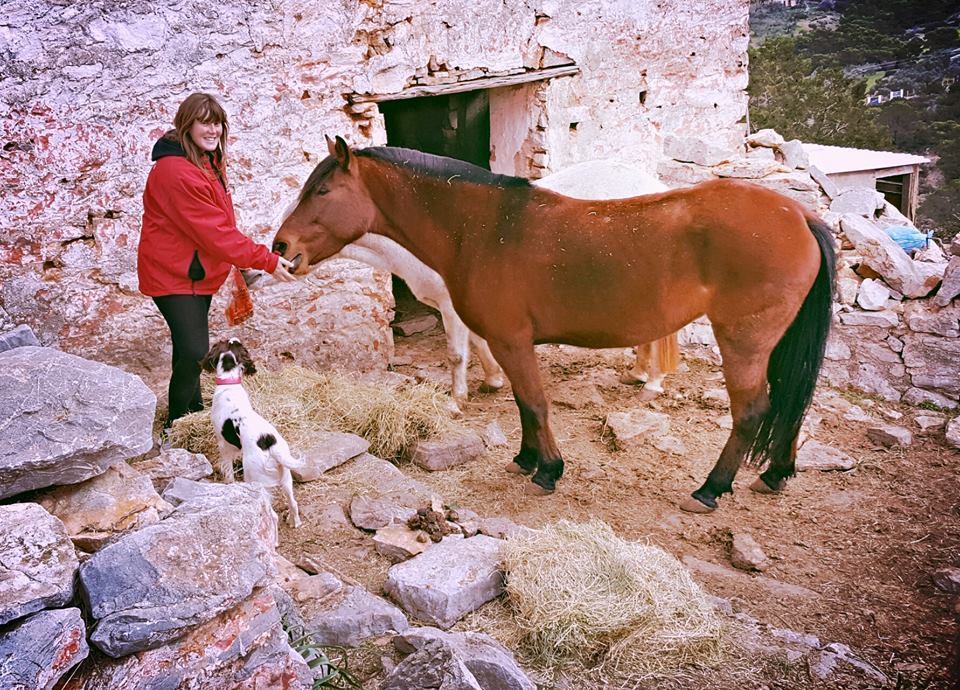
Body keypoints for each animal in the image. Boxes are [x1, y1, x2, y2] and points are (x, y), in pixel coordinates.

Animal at [273, 136, 836, 513]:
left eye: (323, 190)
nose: (281, 247)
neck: (482, 228)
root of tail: (800, 216)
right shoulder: (503, 342)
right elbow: (522, 403)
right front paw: (526, 459)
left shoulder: (512, 340)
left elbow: (534, 401)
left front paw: (547, 470)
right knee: (790, 403)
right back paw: (776, 475)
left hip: (743, 342)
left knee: (753, 410)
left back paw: (710, 489)